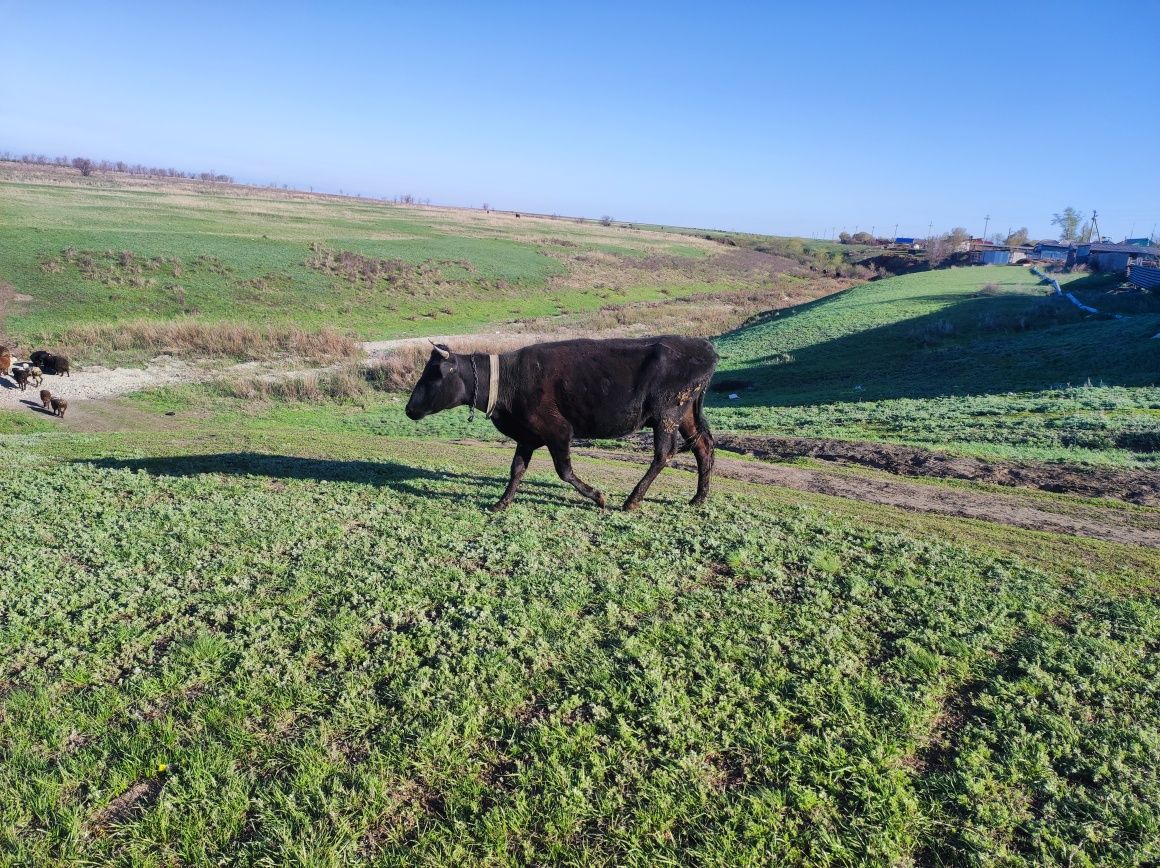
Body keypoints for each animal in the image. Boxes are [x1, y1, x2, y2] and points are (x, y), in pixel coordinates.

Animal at [406, 334, 714, 508]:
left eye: (434, 373)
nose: (409, 409)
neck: (509, 379)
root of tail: (704, 346)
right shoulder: (526, 435)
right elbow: (516, 470)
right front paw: (501, 503)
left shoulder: (558, 430)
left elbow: (564, 471)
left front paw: (598, 496)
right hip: (685, 414)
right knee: (703, 447)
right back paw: (699, 498)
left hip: (667, 413)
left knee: (665, 453)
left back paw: (632, 500)